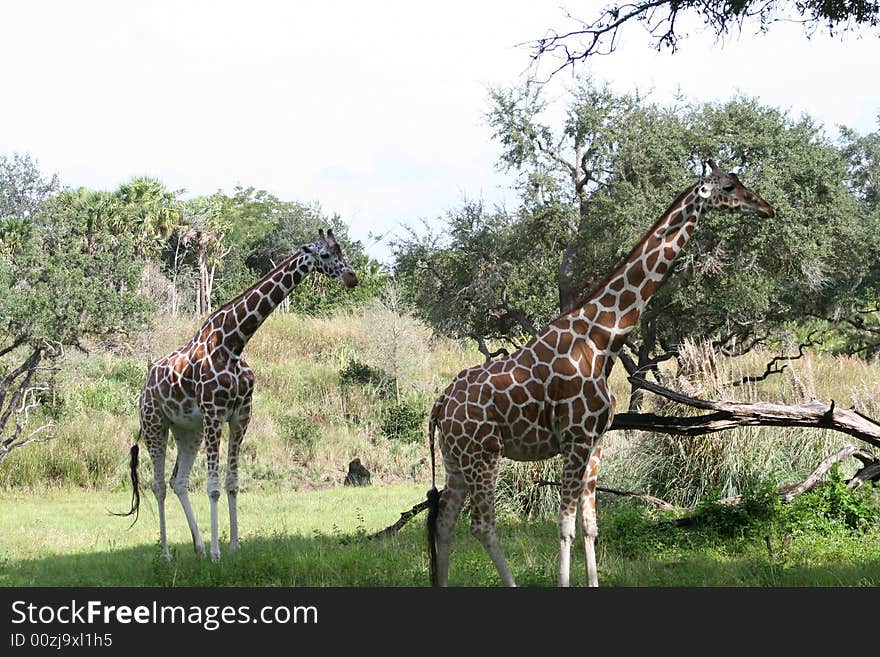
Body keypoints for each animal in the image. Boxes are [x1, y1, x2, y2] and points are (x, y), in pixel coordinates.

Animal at [116, 227, 358, 560]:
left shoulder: (241, 415)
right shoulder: (214, 413)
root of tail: (144, 389)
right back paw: (166, 554)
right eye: (324, 254)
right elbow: (214, 486)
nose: (352, 277)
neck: (233, 344)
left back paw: (198, 546)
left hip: (188, 430)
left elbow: (232, 483)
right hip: (156, 424)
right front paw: (218, 553)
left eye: (341, 251)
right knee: (158, 485)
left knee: (178, 481)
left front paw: (233, 546)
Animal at [426, 159, 776, 584]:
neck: (603, 340)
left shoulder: (595, 442)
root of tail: (440, 405)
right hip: (484, 454)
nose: (766, 208)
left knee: (445, 521)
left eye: (739, 181)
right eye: (728, 186)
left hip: (456, 458)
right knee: (481, 524)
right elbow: (564, 526)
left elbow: (590, 525)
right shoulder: (574, 439)